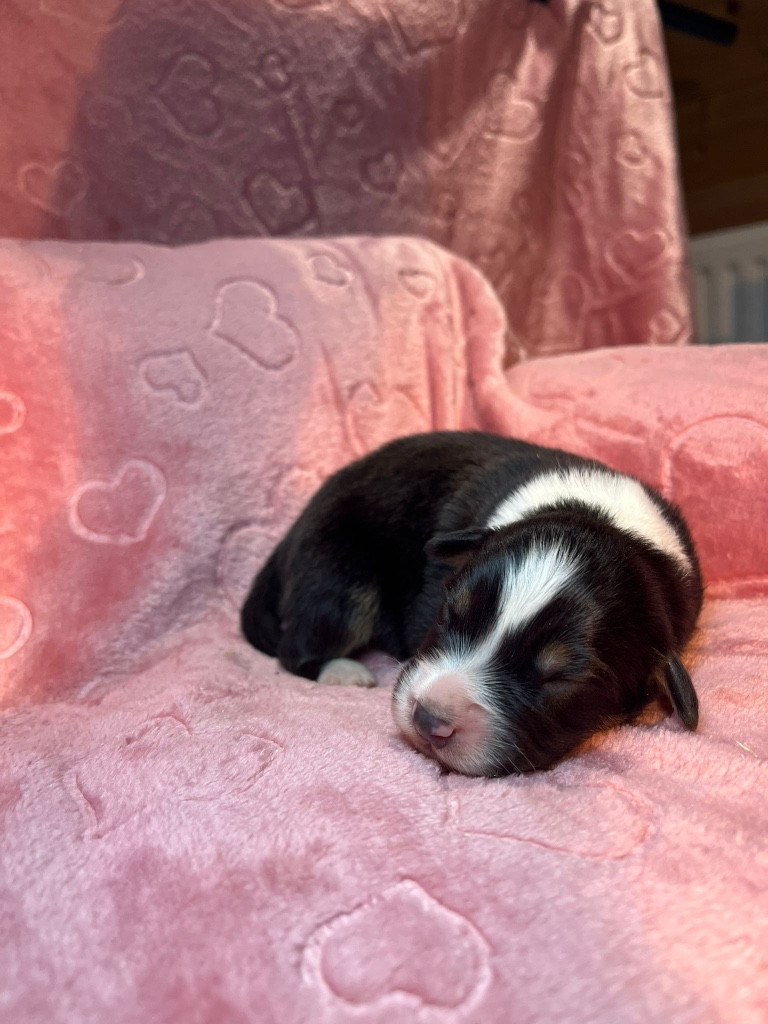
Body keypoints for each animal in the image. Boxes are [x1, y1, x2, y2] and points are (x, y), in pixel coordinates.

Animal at [241, 431, 703, 776]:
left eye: (558, 679)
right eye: (449, 614)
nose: (428, 720)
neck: (603, 517)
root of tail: (293, 529)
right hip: (338, 580)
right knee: (296, 646)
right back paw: (345, 672)